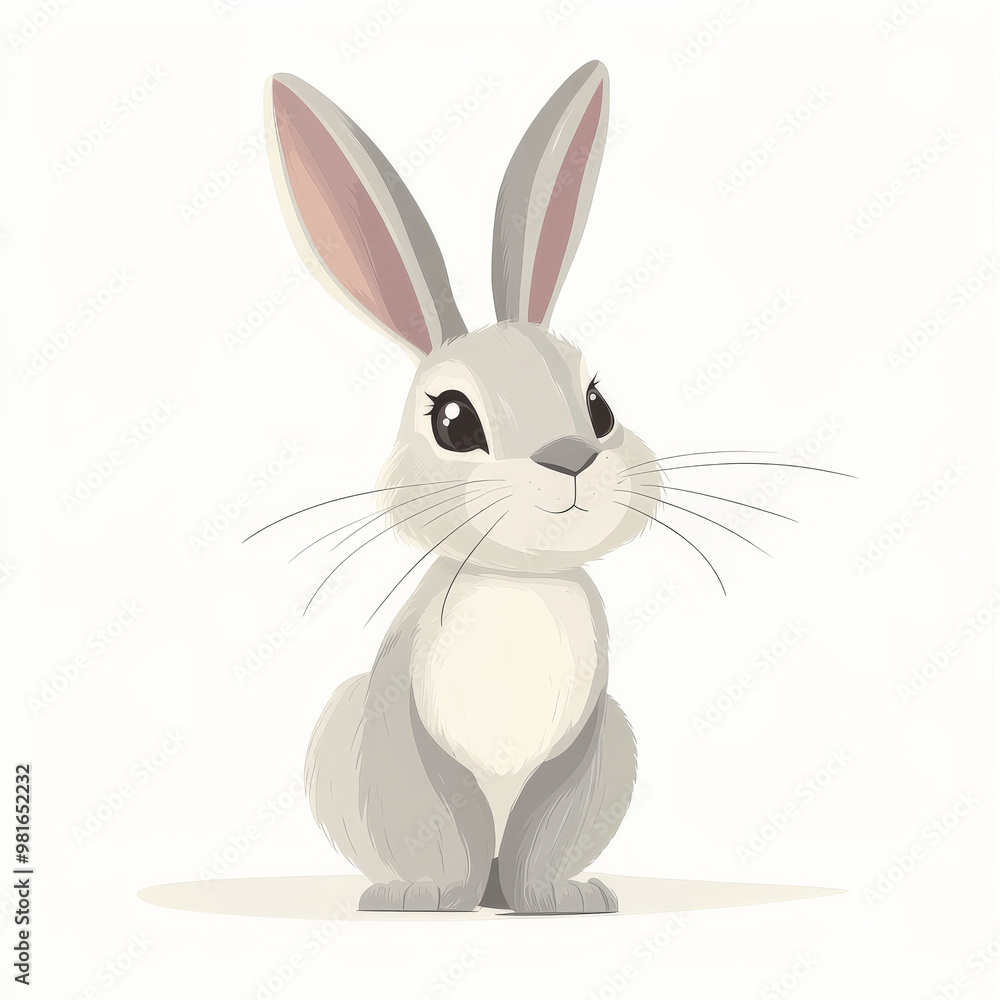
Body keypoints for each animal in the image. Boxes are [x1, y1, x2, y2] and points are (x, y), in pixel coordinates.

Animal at [264, 61, 664, 914]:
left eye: (599, 407)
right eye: (452, 419)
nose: (570, 458)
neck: (517, 581)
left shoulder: (586, 741)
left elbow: (543, 830)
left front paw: (559, 900)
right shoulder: (403, 724)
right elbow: (444, 820)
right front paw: (426, 898)